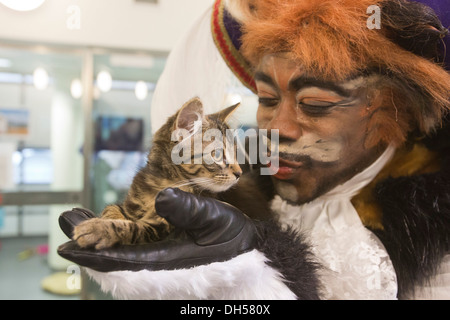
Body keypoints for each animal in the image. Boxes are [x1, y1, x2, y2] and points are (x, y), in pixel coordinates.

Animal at [75, 97, 248, 250]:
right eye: (217, 154)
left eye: (235, 153)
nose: (239, 173)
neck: (161, 185)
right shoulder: (127, 205)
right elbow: (111, 209)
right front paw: (109, 219)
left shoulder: (162, 227)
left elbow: (134, 228)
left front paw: (97, 230)